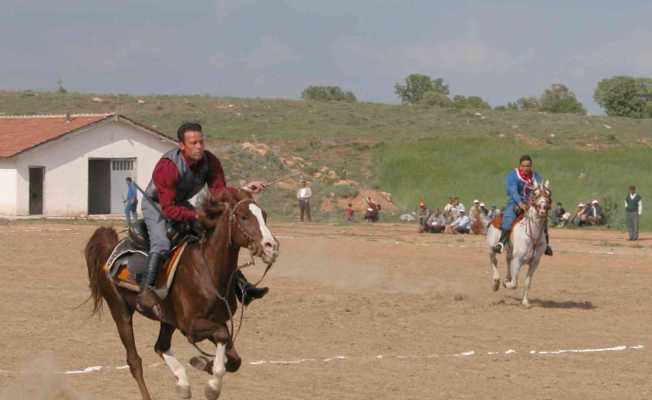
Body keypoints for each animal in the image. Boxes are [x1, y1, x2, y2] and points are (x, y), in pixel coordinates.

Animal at [84, 190, 278, 400]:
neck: (208, 270)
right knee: (134, 360)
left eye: (264, 215)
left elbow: (234, 359)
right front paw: (211, 384)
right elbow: (223, 336)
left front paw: (204, 365)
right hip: (120, 310)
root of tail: (110, 250)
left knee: (160, 346)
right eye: (243, 217)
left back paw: (183, 384)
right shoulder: (191, 326)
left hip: (167, 319)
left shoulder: (216, 320)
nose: (271, 246)